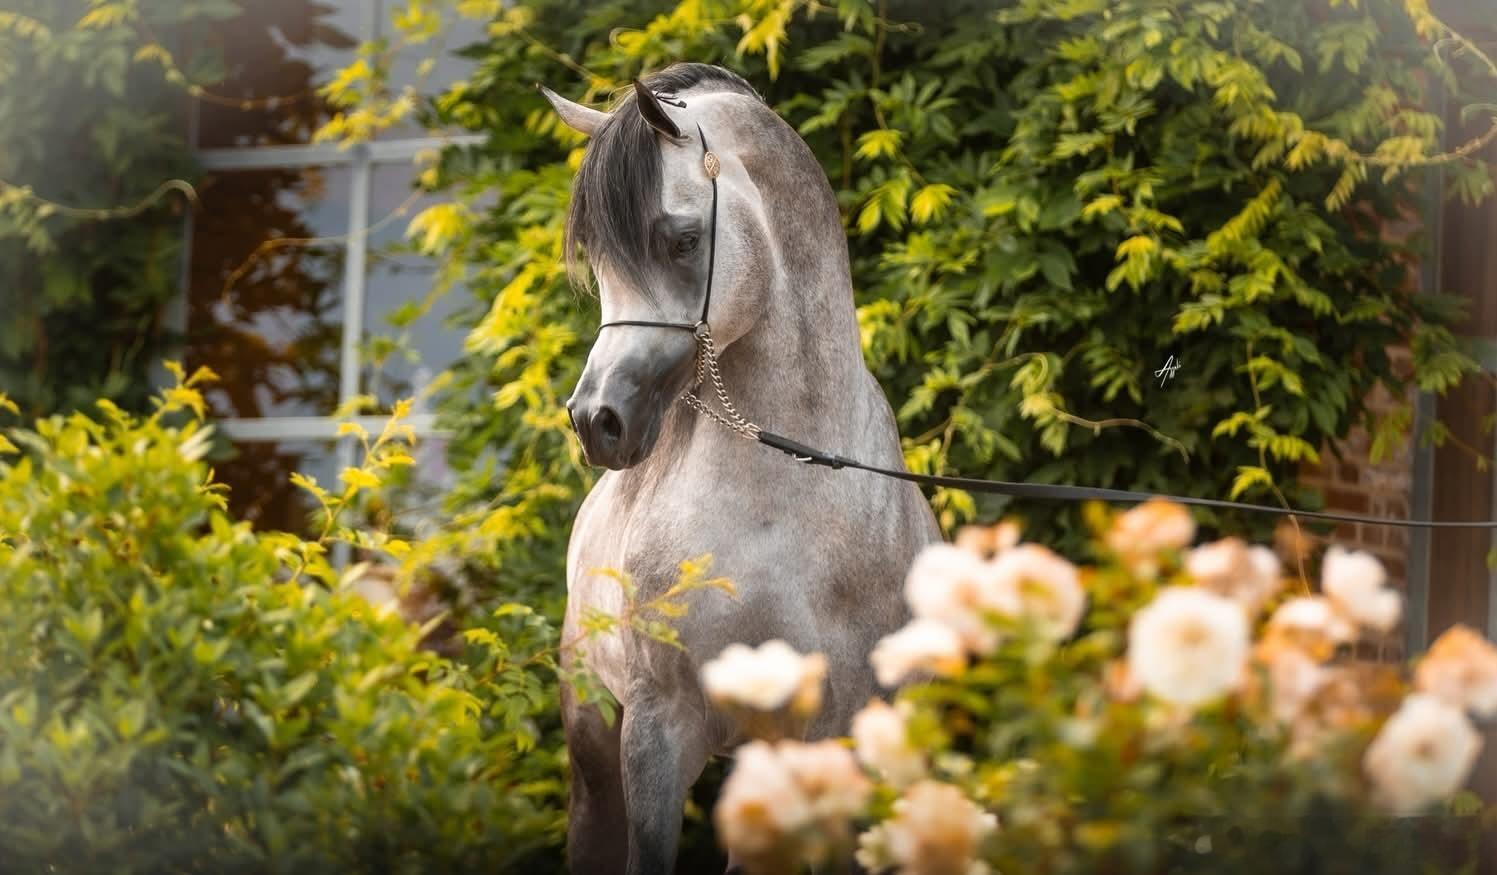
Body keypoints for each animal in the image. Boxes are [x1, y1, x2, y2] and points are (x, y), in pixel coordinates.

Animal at [542, 62, 940, 874]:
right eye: (596, 260)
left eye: (683, 239)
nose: (598, 421)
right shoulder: (658, 731)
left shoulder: (838, 748)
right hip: (593, 737)